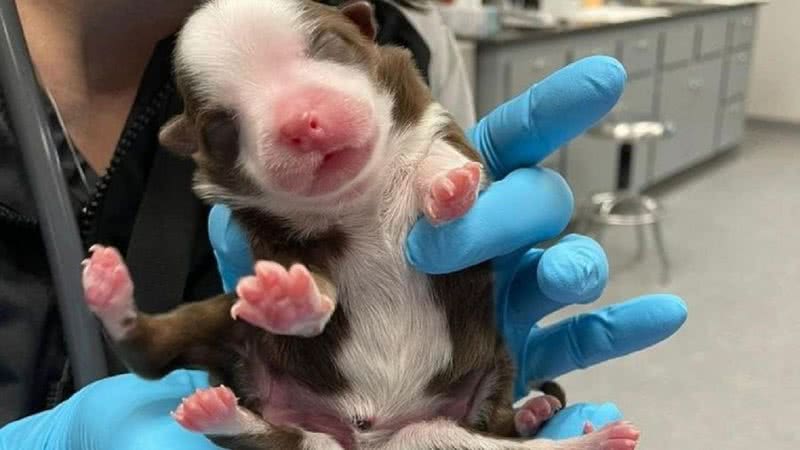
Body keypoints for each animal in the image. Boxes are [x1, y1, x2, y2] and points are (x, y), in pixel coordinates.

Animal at [81, 1, 640, 448]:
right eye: (221, 127)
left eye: (330, 46)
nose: (301, 122)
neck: (358, 198)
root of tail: (371, 435)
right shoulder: (270, 236)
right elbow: (313, 281)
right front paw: (289, 299)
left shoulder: (436, 123)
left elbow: (442, 157)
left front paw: (446, 188)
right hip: (227, 326)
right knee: (151, 354)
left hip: (456, 424)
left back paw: (576, 431)